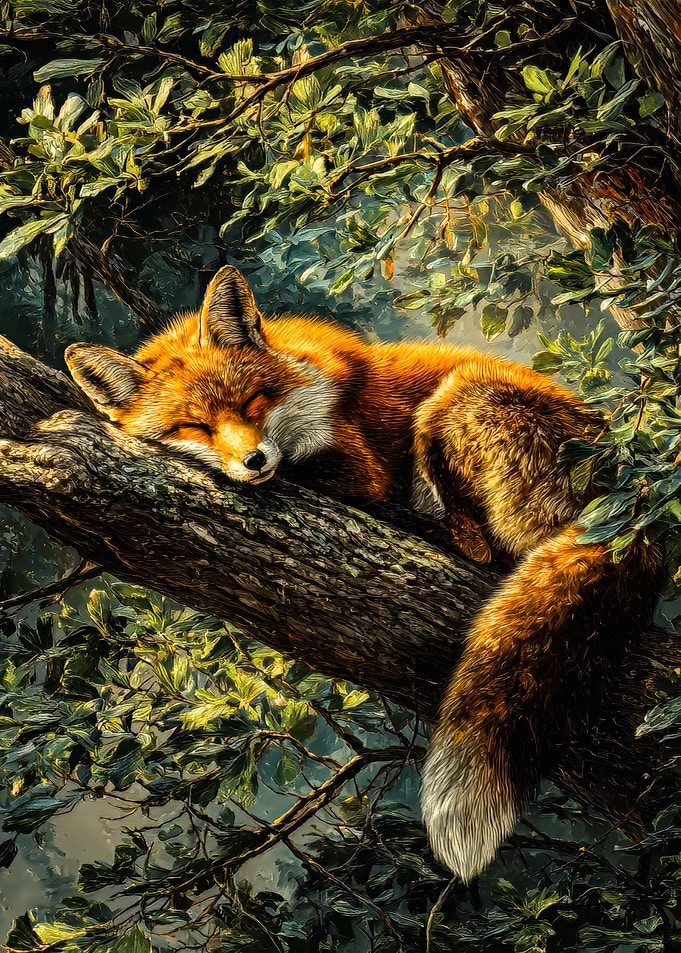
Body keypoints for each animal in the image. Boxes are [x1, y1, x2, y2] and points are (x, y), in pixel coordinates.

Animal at [65, 265, 663, 882]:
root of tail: (633, 507)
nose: (254, 461)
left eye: (253, 400)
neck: (307, 389)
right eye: (193, 426)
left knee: (484, 550)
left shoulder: (360, 468)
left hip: (457, 398)